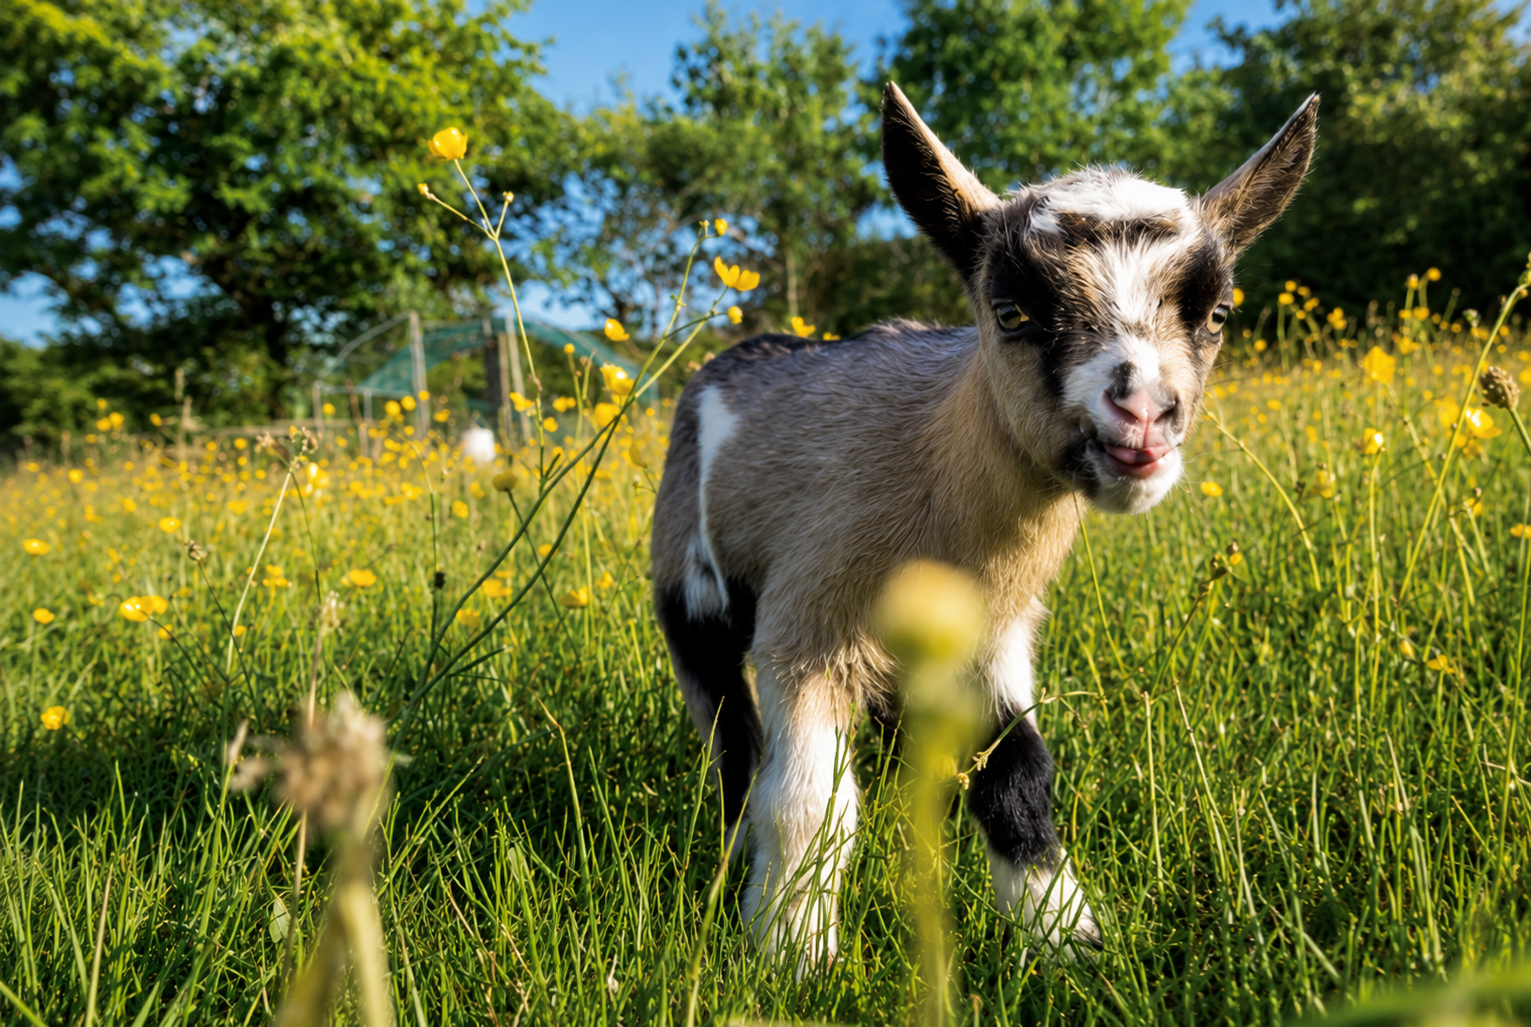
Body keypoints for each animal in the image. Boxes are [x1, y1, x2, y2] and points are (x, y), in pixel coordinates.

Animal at [651, 82, 1318, 962]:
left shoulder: (995, 637)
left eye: (1216, 312)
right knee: (731, 737)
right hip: (688, 584)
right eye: (1009, 310)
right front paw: (790, 954)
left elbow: (1017, 776)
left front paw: (1067, 940)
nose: (1141, 414)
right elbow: (805, 801)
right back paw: (733, 858)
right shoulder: (806, 621)